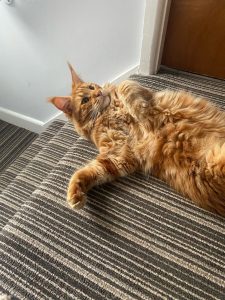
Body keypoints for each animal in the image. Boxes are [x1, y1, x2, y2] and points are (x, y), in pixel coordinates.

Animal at [49, 64, 225, 217]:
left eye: (92, 87)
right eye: (85, 100)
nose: (99, 93)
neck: (106, 113)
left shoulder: (143, 93)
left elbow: (124, 85)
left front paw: (140, 111)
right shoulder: (119, 154)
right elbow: (89, 171)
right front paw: (75, 193)